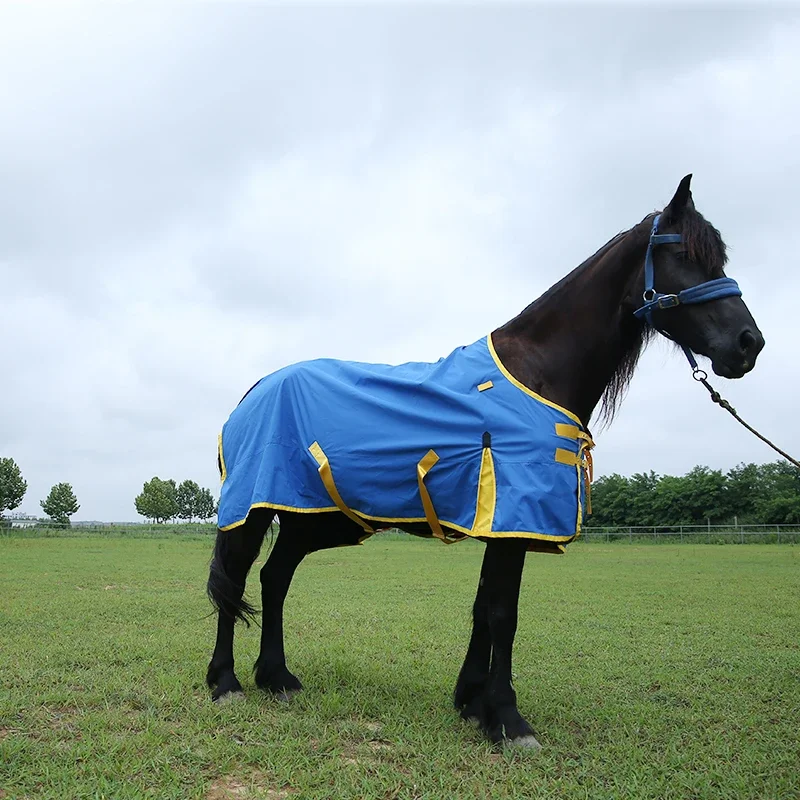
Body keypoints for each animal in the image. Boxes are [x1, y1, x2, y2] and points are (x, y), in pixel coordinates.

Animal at [205, 177, 764, 752]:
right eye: (685, 255)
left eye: (719, 258)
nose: (749, 344)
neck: (537, 372)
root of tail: (255, 390)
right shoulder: (513, 522)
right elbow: (503, 614)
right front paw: (508, 720)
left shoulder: (499, 522)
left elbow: (481, 608)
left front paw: (472, 703)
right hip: (252, 511)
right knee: (236, 579)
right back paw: (226, 683)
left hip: (313, 519)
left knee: (274, 578)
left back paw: (277, 678)